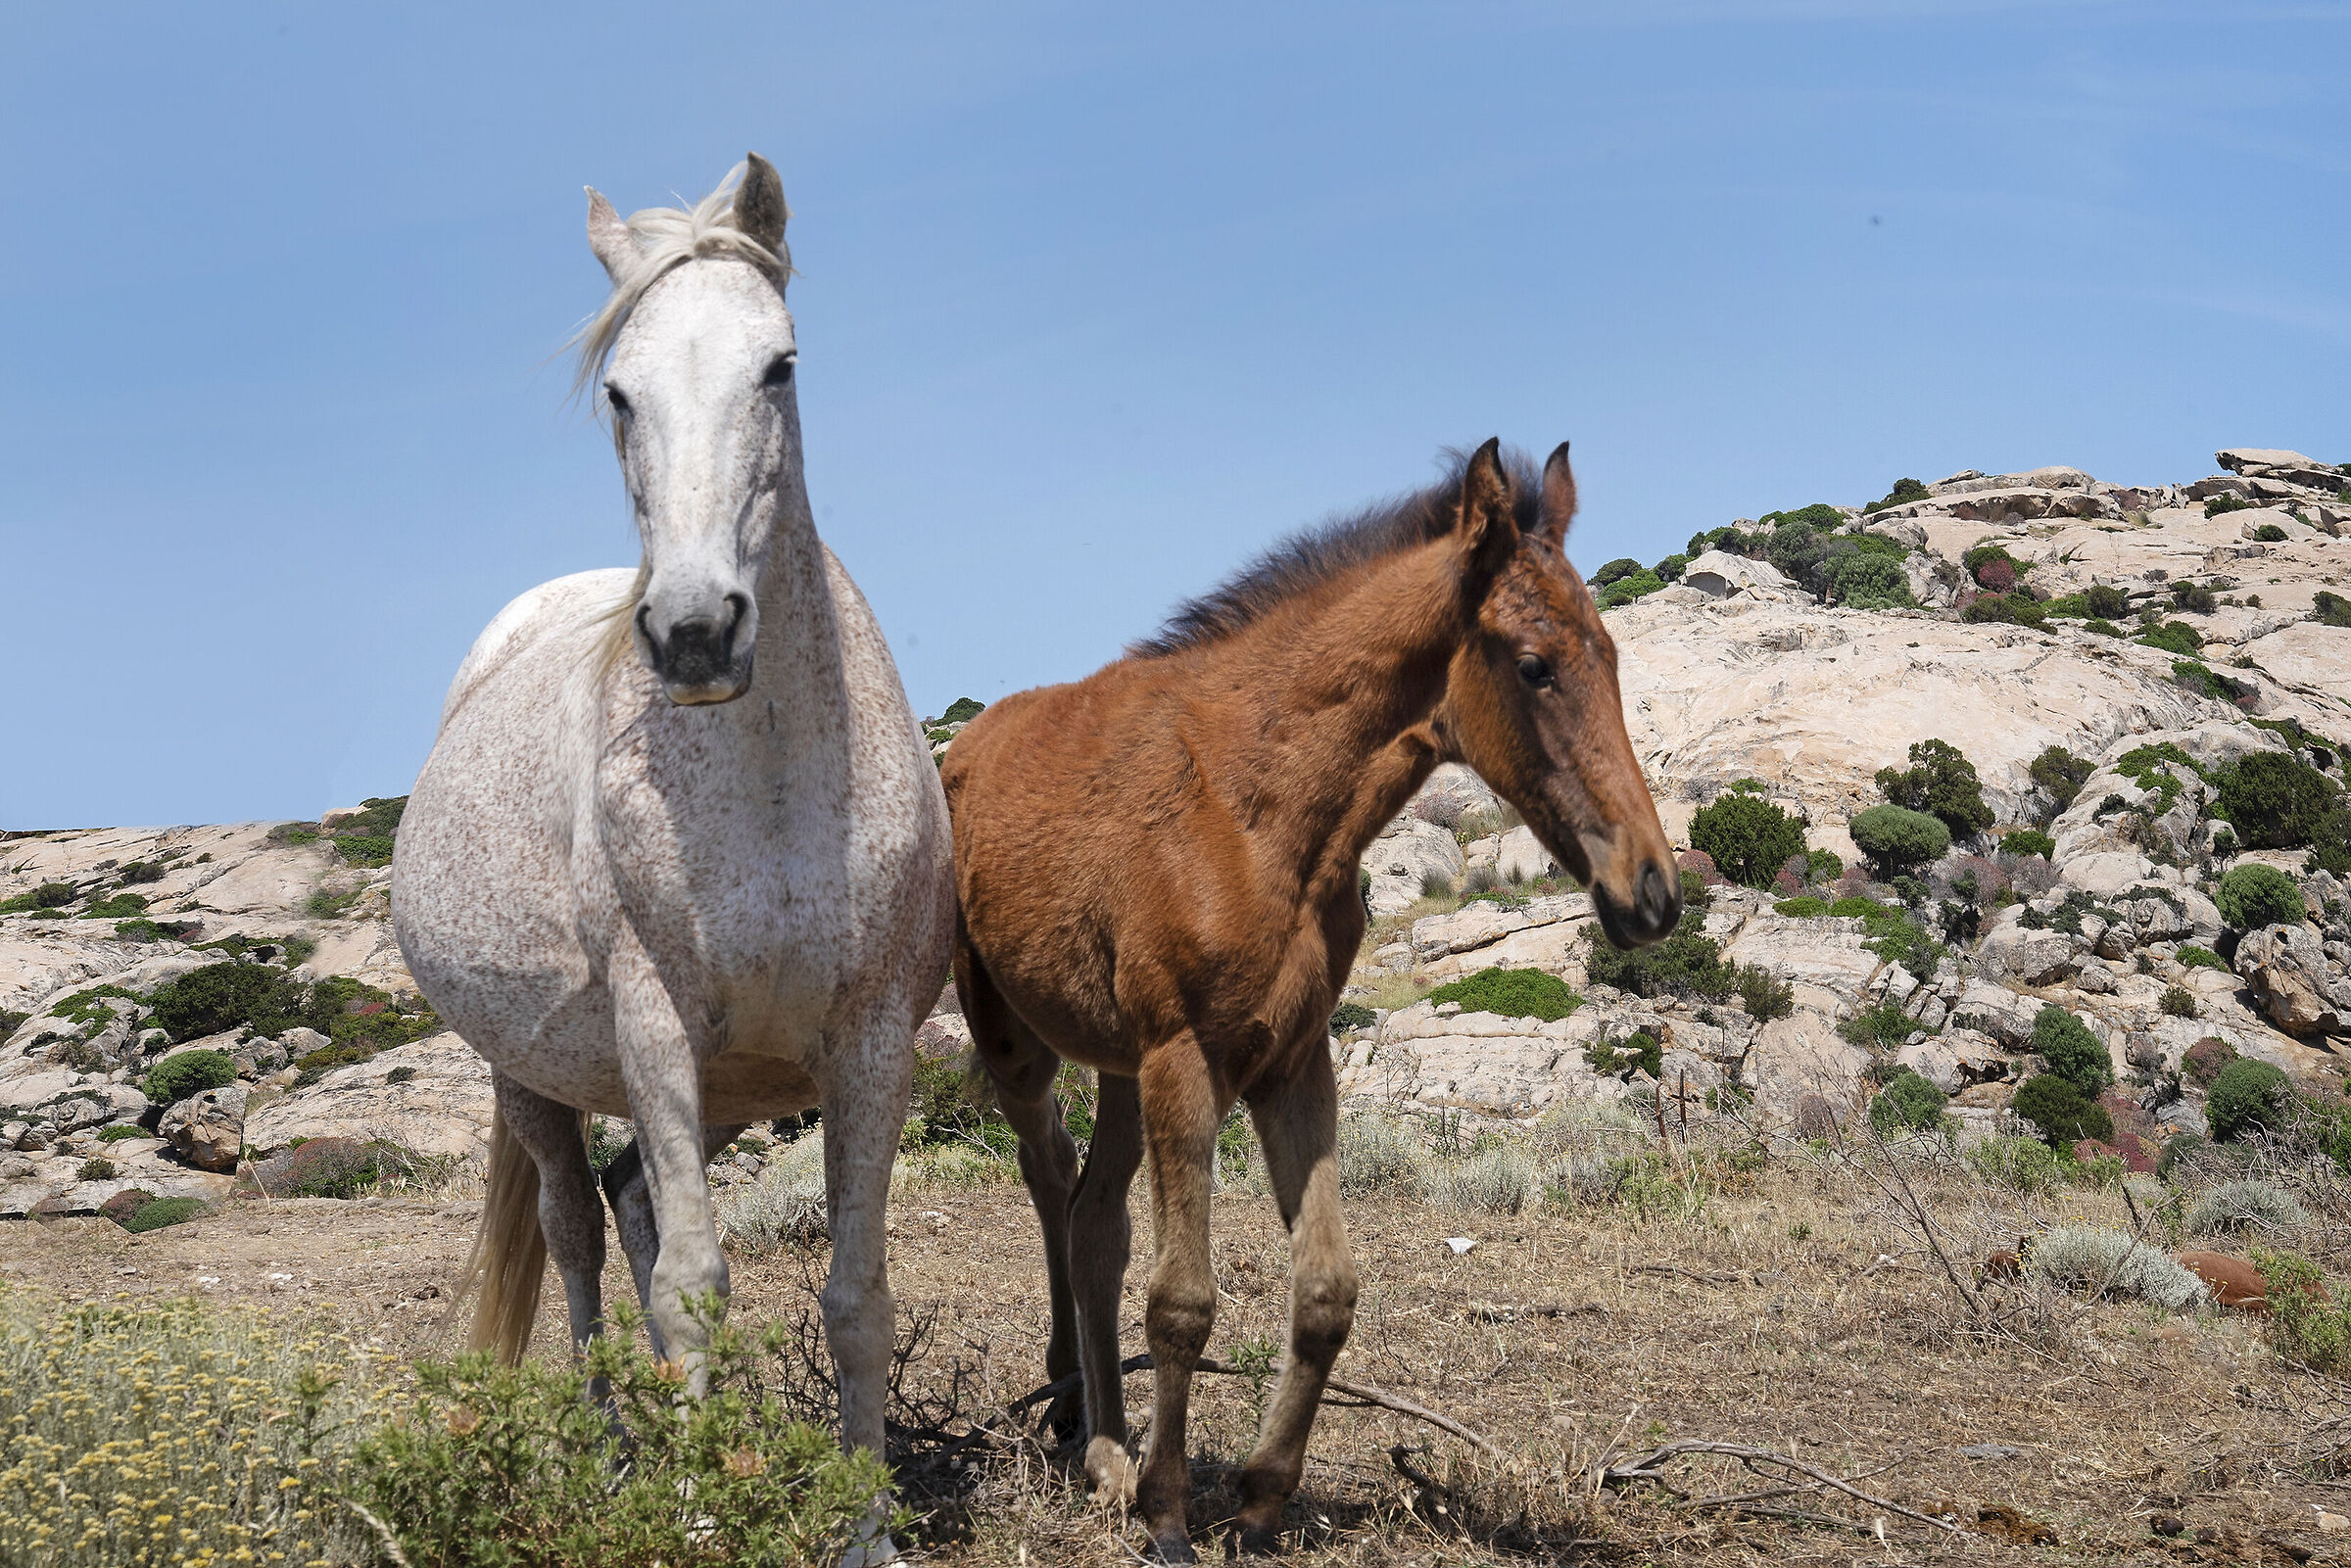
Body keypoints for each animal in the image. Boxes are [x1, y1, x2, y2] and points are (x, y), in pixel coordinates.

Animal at [391, 156, 953, 1483]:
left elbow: (856, 1298)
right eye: (619, 391)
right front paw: (695, 1508)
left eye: (779, 365)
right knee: (579, 1236)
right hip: (527, 1074)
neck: (778, 787)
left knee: (631, 1204)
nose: (696, 631)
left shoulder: (870, 1045)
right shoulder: (656, 1029)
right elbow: (692, 1288)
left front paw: (862, 1515)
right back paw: (617, 1456)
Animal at [941, 438, 1680, 1560]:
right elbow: (1184, 1299)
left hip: (1120, 1067)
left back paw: (1106, 1446)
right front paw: (1169, 1513)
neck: (1260, 812)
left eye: (1613, 654)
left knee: (1094, 1221)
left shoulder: (1291, 1058)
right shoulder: (1187, 1057)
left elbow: (1327, 1289)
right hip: (1017, 1044)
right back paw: (1076, 1417)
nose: (1652, 892)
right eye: (1534, 664)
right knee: (1048, 1176)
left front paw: (1257, 1496)